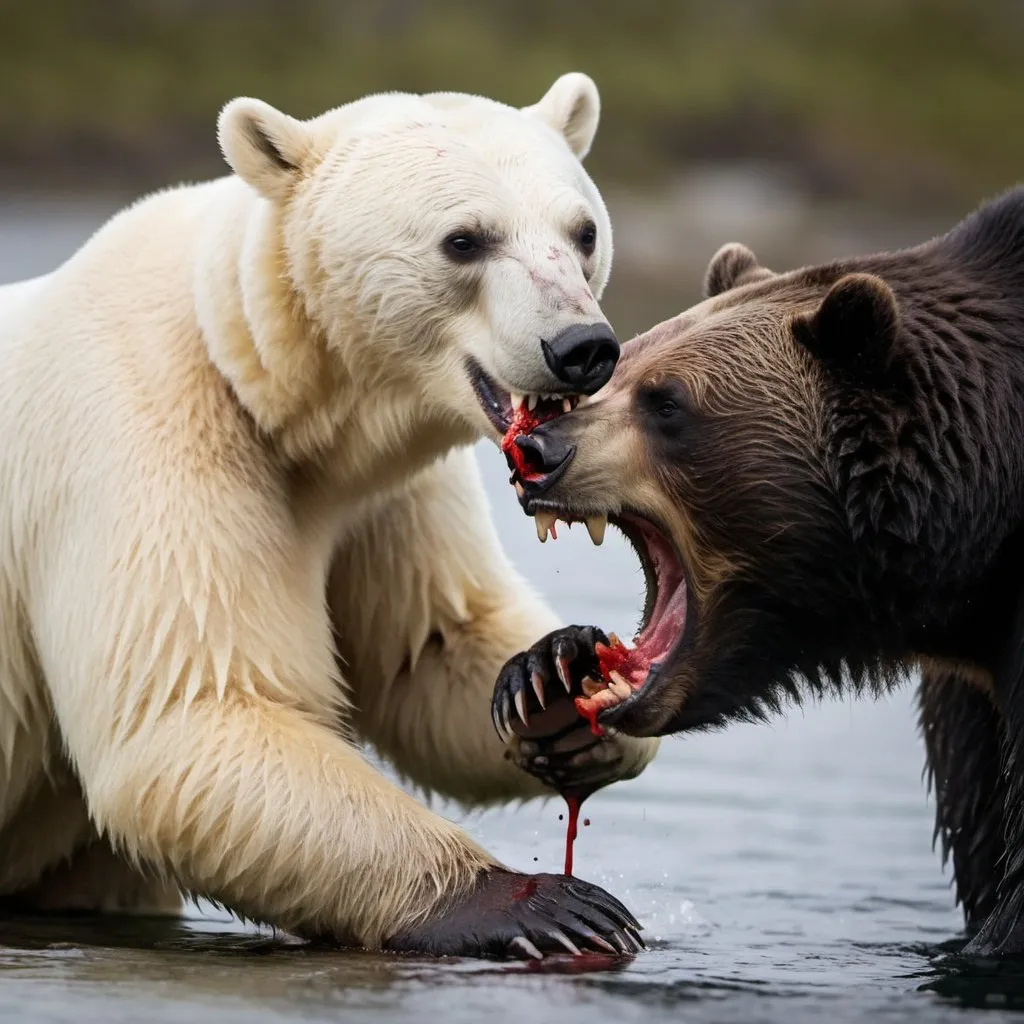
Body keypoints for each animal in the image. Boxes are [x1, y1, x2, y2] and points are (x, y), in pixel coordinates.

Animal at [0, 75, 659, 954]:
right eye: (464, 240)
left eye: (583, 231)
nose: (582, 347)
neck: (266, 380)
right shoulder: (150, 430)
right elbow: (198, 716)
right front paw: (541, 906)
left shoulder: (383, 496)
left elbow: (428, 646)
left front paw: (560, 680)